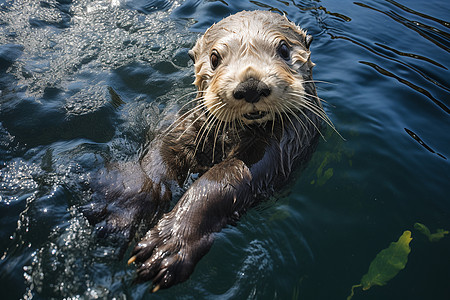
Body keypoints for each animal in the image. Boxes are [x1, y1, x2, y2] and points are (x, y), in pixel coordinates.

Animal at [82, 9, 332, 292]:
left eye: (283, 48)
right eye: (214, 58)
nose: (251, 86)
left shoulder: (278, 147)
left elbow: (217, 183)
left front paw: (170, 242)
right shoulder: (189, 125)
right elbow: (160, 154)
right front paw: (122, 206)